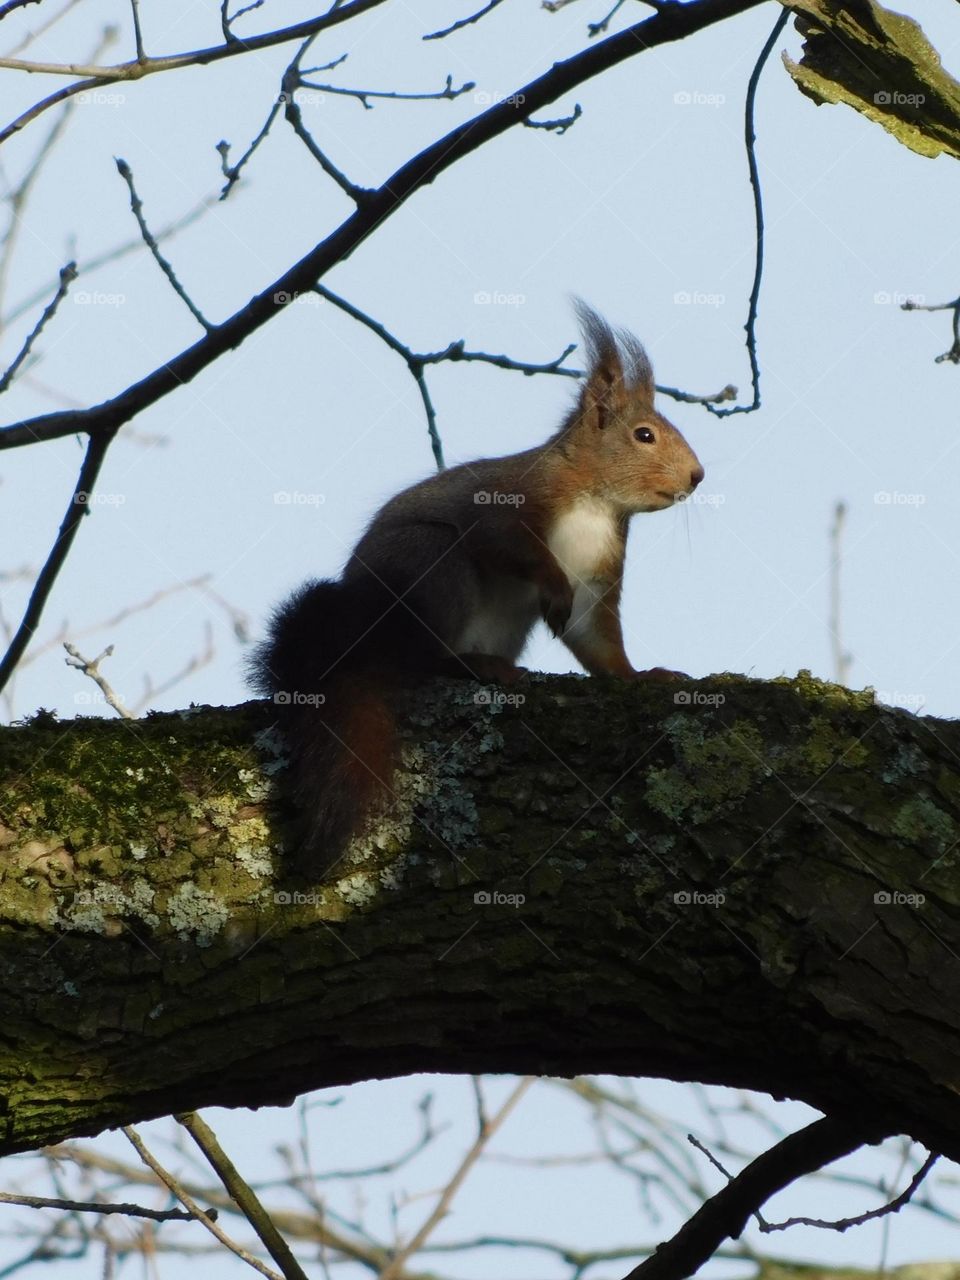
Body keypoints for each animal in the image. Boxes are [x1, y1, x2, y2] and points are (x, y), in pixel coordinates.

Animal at [249, 301, 703, 871]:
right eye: (644, 435)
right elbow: (509, 548)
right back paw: (469, 665)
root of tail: (366, 636)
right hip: (434, 565)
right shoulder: (508, 506)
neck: (598, 501)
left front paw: (640, 676)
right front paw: (552, 586)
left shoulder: (599, 571)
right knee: (421, 658)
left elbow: (594, 634)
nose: (697, 477)